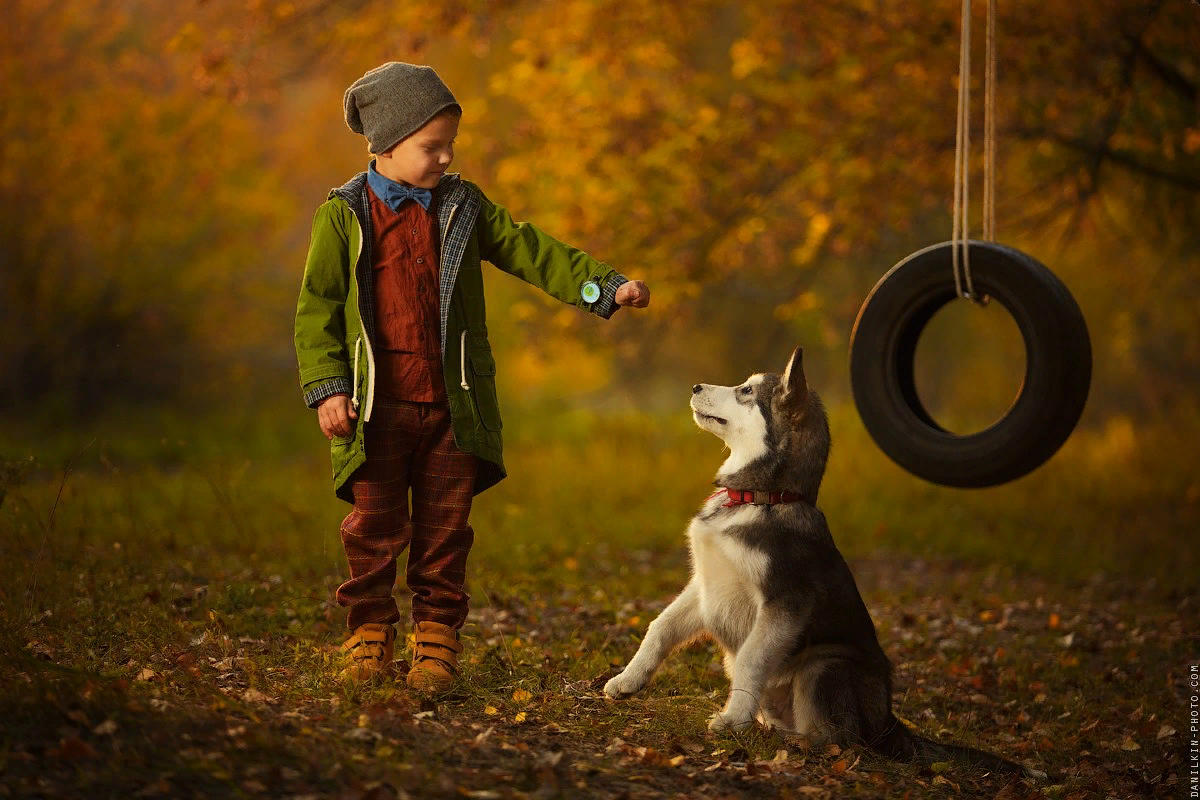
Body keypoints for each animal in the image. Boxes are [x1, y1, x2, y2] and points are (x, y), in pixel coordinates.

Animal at [604, 347, 1046, 777]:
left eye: (746, 391)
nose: (695, 386)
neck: (761, 498)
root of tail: (888, 721)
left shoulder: (785, 601)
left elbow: (749, 658)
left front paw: (732, 720)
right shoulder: (706, 585)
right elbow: (660, 627)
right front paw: (628, 679)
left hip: (825, 666)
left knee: (838, 738)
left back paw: (793, 743)